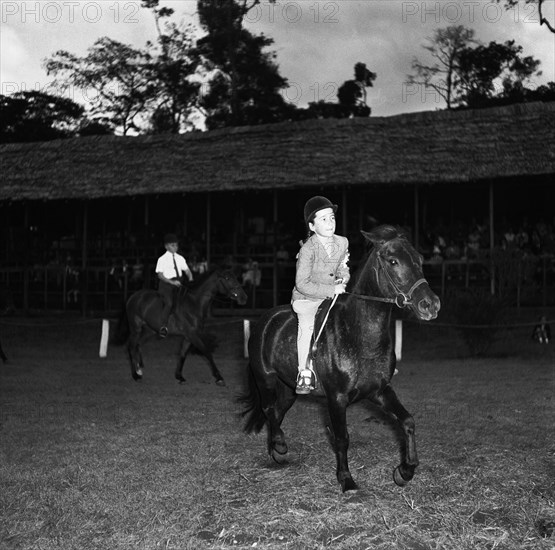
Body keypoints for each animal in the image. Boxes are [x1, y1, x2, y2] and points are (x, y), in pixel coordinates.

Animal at [116, 270, 247, 386]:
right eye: (227, 278)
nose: (243, 297)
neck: (194, 303)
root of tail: (133, 296)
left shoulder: (188, 337)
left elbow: (182, 354)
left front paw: (179, 377)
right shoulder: (192, 335)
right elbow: (207, 352)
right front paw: (219, 378)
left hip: (149, 331)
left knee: (137, 345)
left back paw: (139, 369)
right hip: (135, 328)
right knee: (131, 346)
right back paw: (135, 375)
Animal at [241, 226, 440, 494]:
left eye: (419, 259)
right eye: (393, 261)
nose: (430, 304)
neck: (359, 334)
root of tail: (264, 322)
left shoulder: (379, 390)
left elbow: (407, 421)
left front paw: (404, 471)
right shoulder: (336, 398)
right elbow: (342, 438)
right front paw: (347, 480)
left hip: (289, 390)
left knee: (277, 413)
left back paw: (278, 449)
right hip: (267, 382)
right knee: (269, 409)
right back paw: (279, 448)